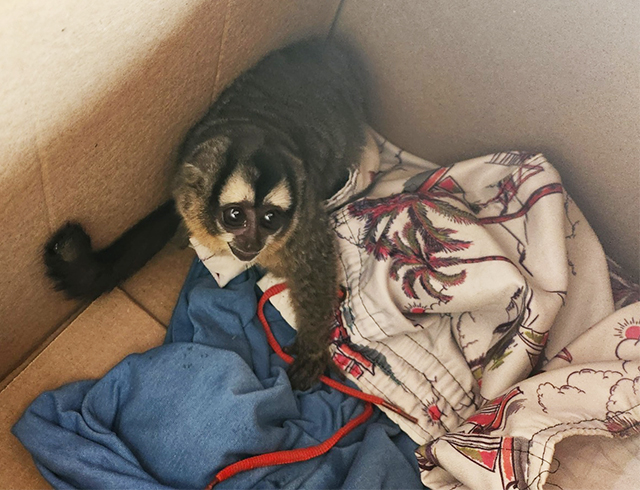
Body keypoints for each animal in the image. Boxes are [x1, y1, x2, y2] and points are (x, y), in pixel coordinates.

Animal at [44, 39, 368, 390]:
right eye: (235, 216)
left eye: (270, 219)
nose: (253, 242)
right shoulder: (184, 198)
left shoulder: (302, 222)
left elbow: (315, 264)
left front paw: (312, 350)